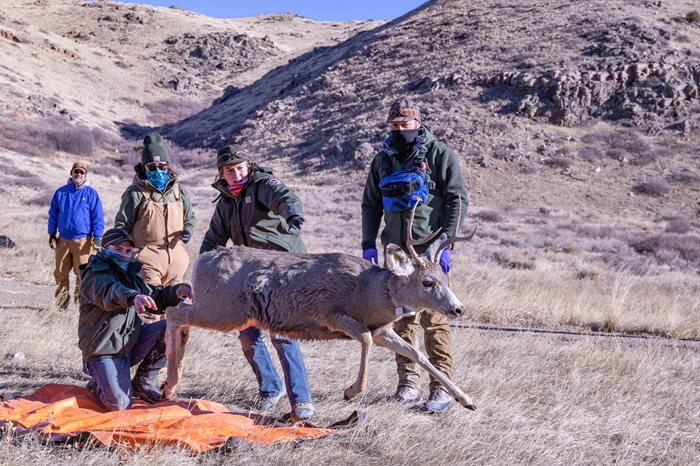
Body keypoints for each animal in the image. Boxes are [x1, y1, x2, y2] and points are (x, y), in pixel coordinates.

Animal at [163, 206, 478, 410]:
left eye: (445, 278)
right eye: (427, 282)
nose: (458, 309)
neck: (371, 292)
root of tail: (203, 260)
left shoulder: (382, 330)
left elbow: (417, 354)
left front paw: (466, 400)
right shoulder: (328, 313)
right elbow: (364, 339)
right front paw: (352, 391)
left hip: (224, 310)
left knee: (180, 311)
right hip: (224, 309)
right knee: (174, 312)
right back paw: (170, 382)